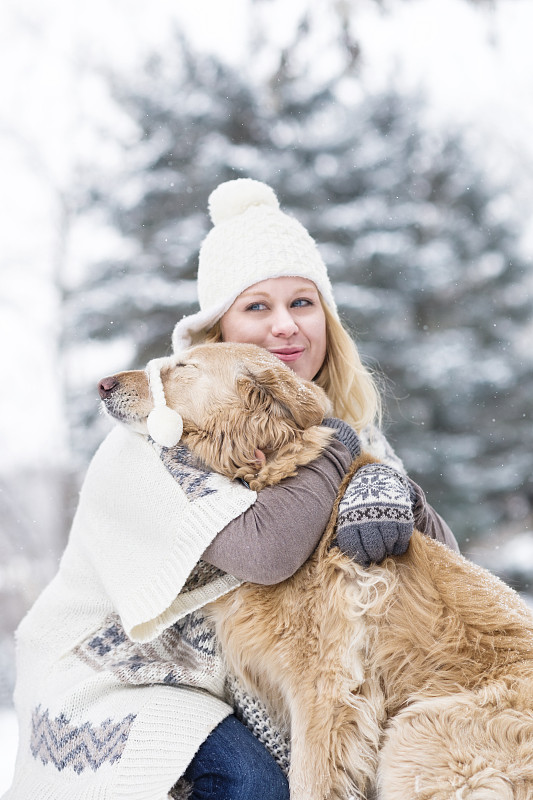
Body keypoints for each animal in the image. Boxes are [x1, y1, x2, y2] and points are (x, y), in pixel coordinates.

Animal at [98, 342, 532, 800]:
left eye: (182, 367)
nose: (103, 385)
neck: (269, 468)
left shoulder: (323, 688)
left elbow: (309, 781)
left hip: (415, 734)